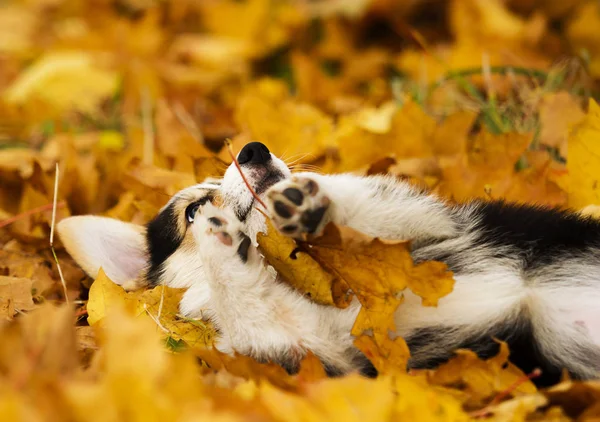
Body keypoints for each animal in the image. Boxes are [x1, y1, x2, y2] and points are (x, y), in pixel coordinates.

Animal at [58, 141, 600, 386]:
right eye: (189, 211)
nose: (253, 150)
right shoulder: (320, 357)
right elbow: (248, 304)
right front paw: (219, 244)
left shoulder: (430, 225)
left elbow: (373, 203)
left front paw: (310, 198)